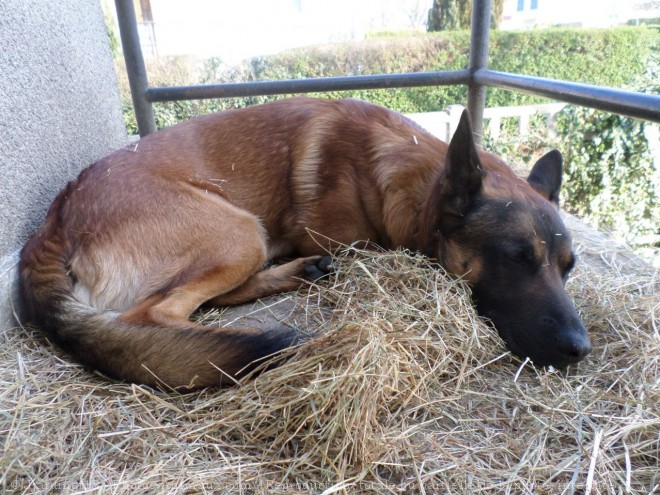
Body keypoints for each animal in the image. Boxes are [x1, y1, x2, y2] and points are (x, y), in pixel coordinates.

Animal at [19, 98, 592, 392]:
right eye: (516, 258)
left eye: (568, 268)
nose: (580, 349)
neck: (402, 178)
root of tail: (54, 219)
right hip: (237, 230)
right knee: (153, 317)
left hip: (244, 235)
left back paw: (300, 272)